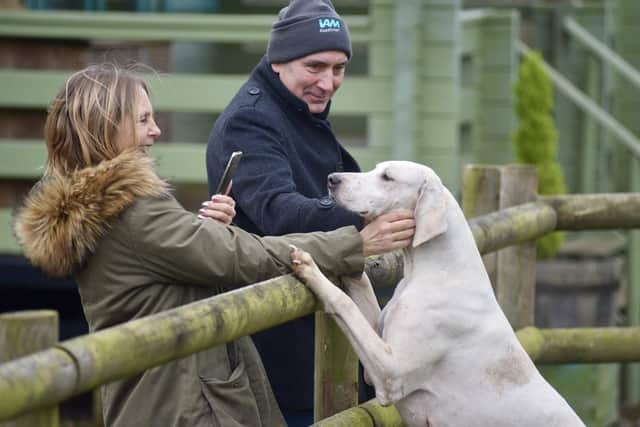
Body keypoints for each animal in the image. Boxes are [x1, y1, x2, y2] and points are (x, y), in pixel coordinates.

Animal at [290, 161, 584, 427]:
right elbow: (359, 288)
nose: (332, 179)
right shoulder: (379, 338)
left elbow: (343, 303)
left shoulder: (389, 373)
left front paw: (310, 265)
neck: (436, 270)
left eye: (387, 177)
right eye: (375, 169)